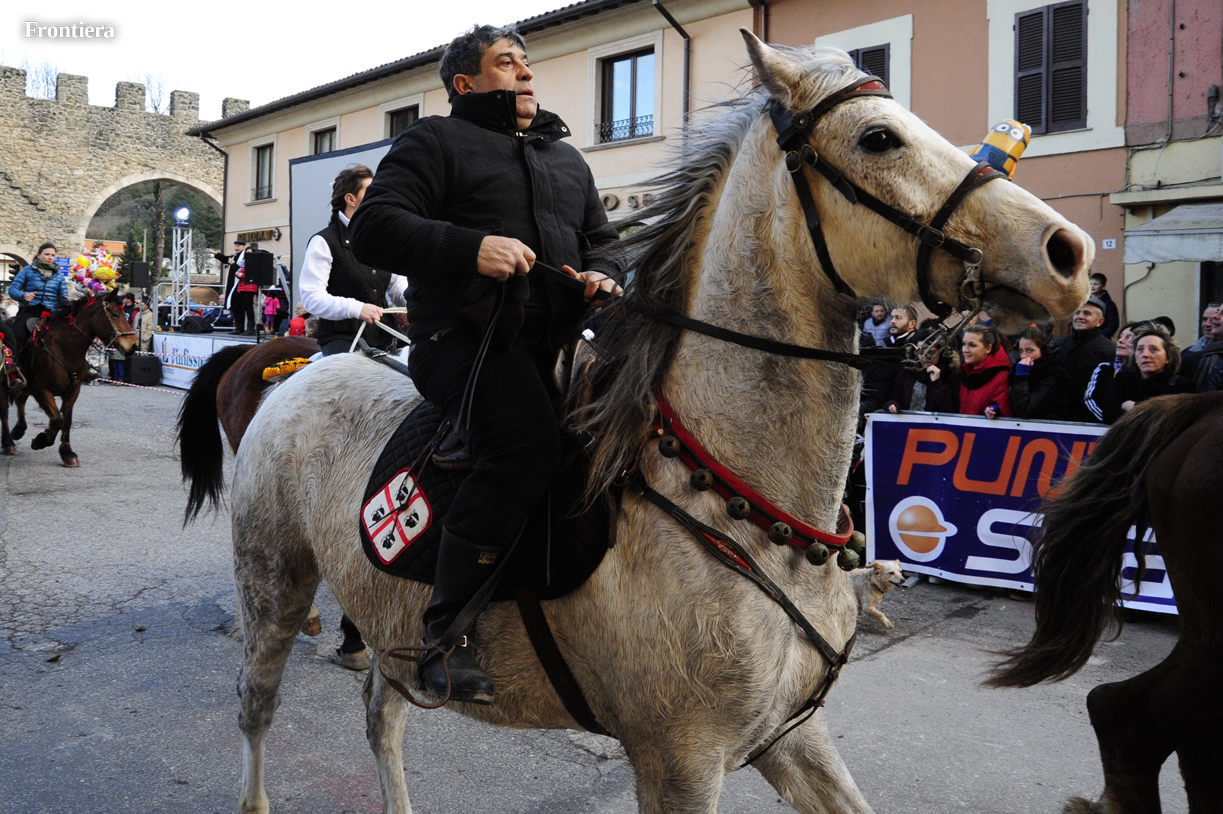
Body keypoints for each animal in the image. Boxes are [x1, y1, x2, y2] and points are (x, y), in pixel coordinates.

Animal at [5, 292, 135, 466]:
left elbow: (66, 420)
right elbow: (57, 419)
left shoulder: (73, 390)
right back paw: (8, 443)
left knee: (20, 399)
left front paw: (67, 452)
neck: (64, 348)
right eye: (114, 314)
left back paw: (18, 430)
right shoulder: (42, 390)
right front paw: (40, 440)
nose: (133, 346)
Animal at [208, 34, 1092, 814]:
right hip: (274, 584)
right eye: (878, 138)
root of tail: (299, 371)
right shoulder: (680, 759)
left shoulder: (790, 738)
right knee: (255, 705)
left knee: (379, 717)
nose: (1066, 252)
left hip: (389, 619)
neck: (733, 499)